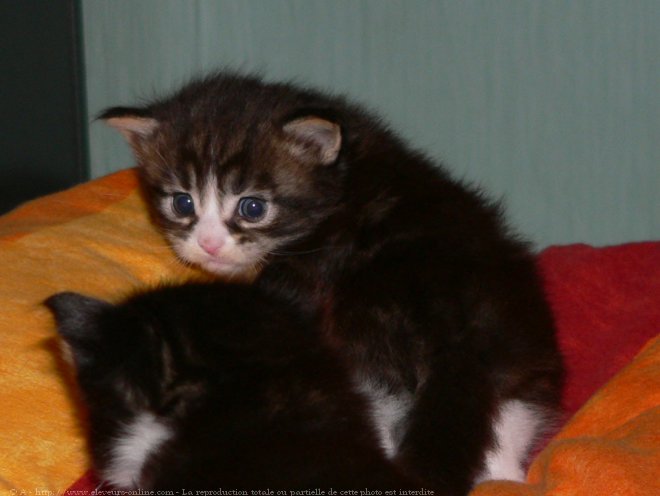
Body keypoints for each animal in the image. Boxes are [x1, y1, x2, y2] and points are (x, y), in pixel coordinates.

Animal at [102, 71, 564, 494]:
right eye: (183, 203)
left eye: (253, 208)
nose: (209, 244)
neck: (342, 177)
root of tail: (458, 328)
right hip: (520, 357)